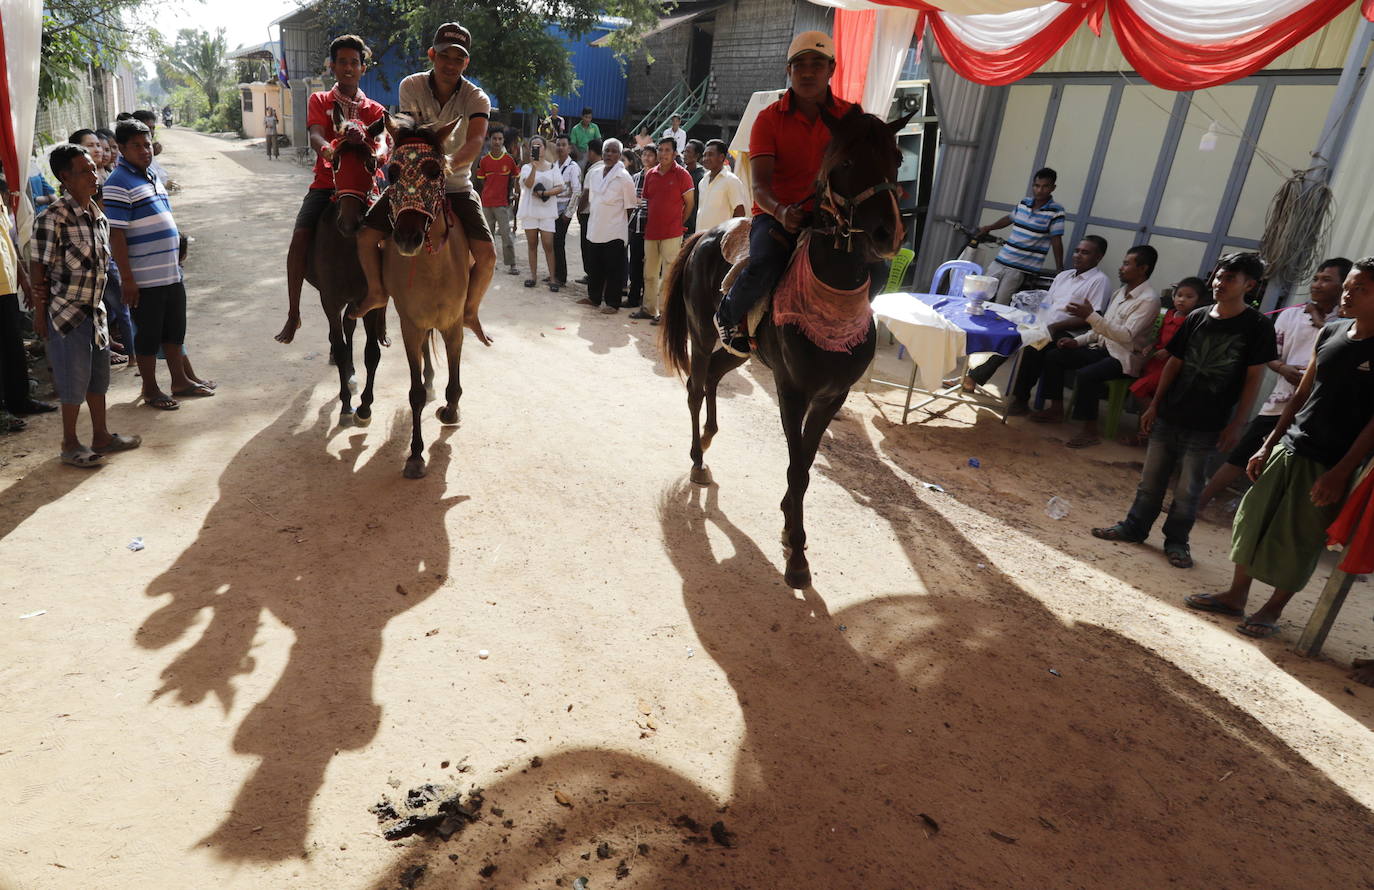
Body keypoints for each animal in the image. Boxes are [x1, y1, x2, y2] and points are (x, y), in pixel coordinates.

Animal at [302, 109, 387, 425]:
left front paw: (365, 406)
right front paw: (347, 404)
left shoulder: (370, 300)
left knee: (351, 327)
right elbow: (339, 349)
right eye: (335, 162)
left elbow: (371, 352)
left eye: (372, 162)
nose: (349, 223)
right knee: (341, 333)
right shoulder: (330, 299)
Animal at [381, 117, 472, 480]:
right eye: (391, 172)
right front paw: (416, 455)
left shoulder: (454, 324)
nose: (407, 238)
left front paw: (451, 410)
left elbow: (455, 380)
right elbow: (416, 393)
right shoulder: (410, 325)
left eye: (434, 171)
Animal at [656, 104, 906, 587]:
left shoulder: (832, 396)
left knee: (713, 379)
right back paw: (697, 459)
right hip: (702, 335)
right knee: (695, 388)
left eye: (898, 158)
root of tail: (705, 233)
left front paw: (792, 525)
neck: (833, 298)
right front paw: (796, 553)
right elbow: (796, 467)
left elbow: (805, 464)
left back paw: (710, 436)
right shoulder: (793, 392)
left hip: (739, 350)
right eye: (846, 160)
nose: (888, 233)